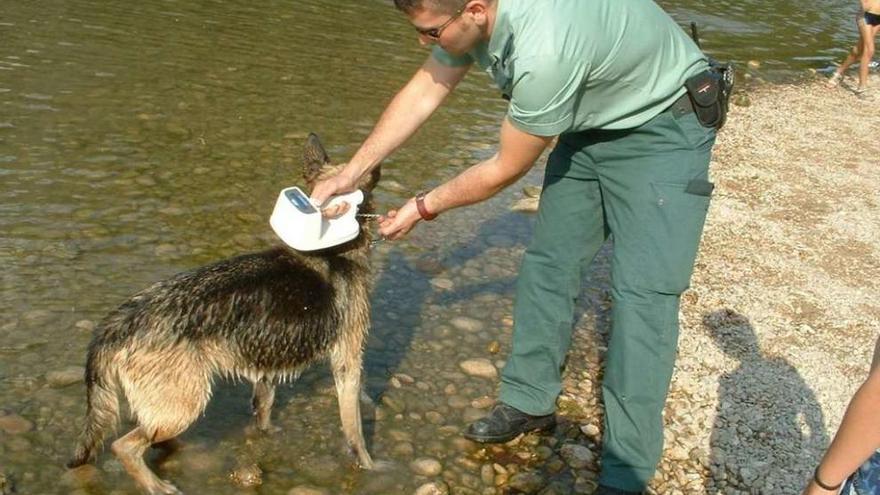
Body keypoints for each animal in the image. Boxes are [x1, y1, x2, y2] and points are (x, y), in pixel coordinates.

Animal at [64, 134, 374, 494]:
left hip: (170, 403)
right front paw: (370, 466)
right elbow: (354, 430)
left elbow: (263, 408)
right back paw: (157, 485)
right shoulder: (347, 362)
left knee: (149, 435)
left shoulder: (266, 366)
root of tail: (115, 325)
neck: (333, 248)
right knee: (124, 446)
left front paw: (267, 436)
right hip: (185, 402)